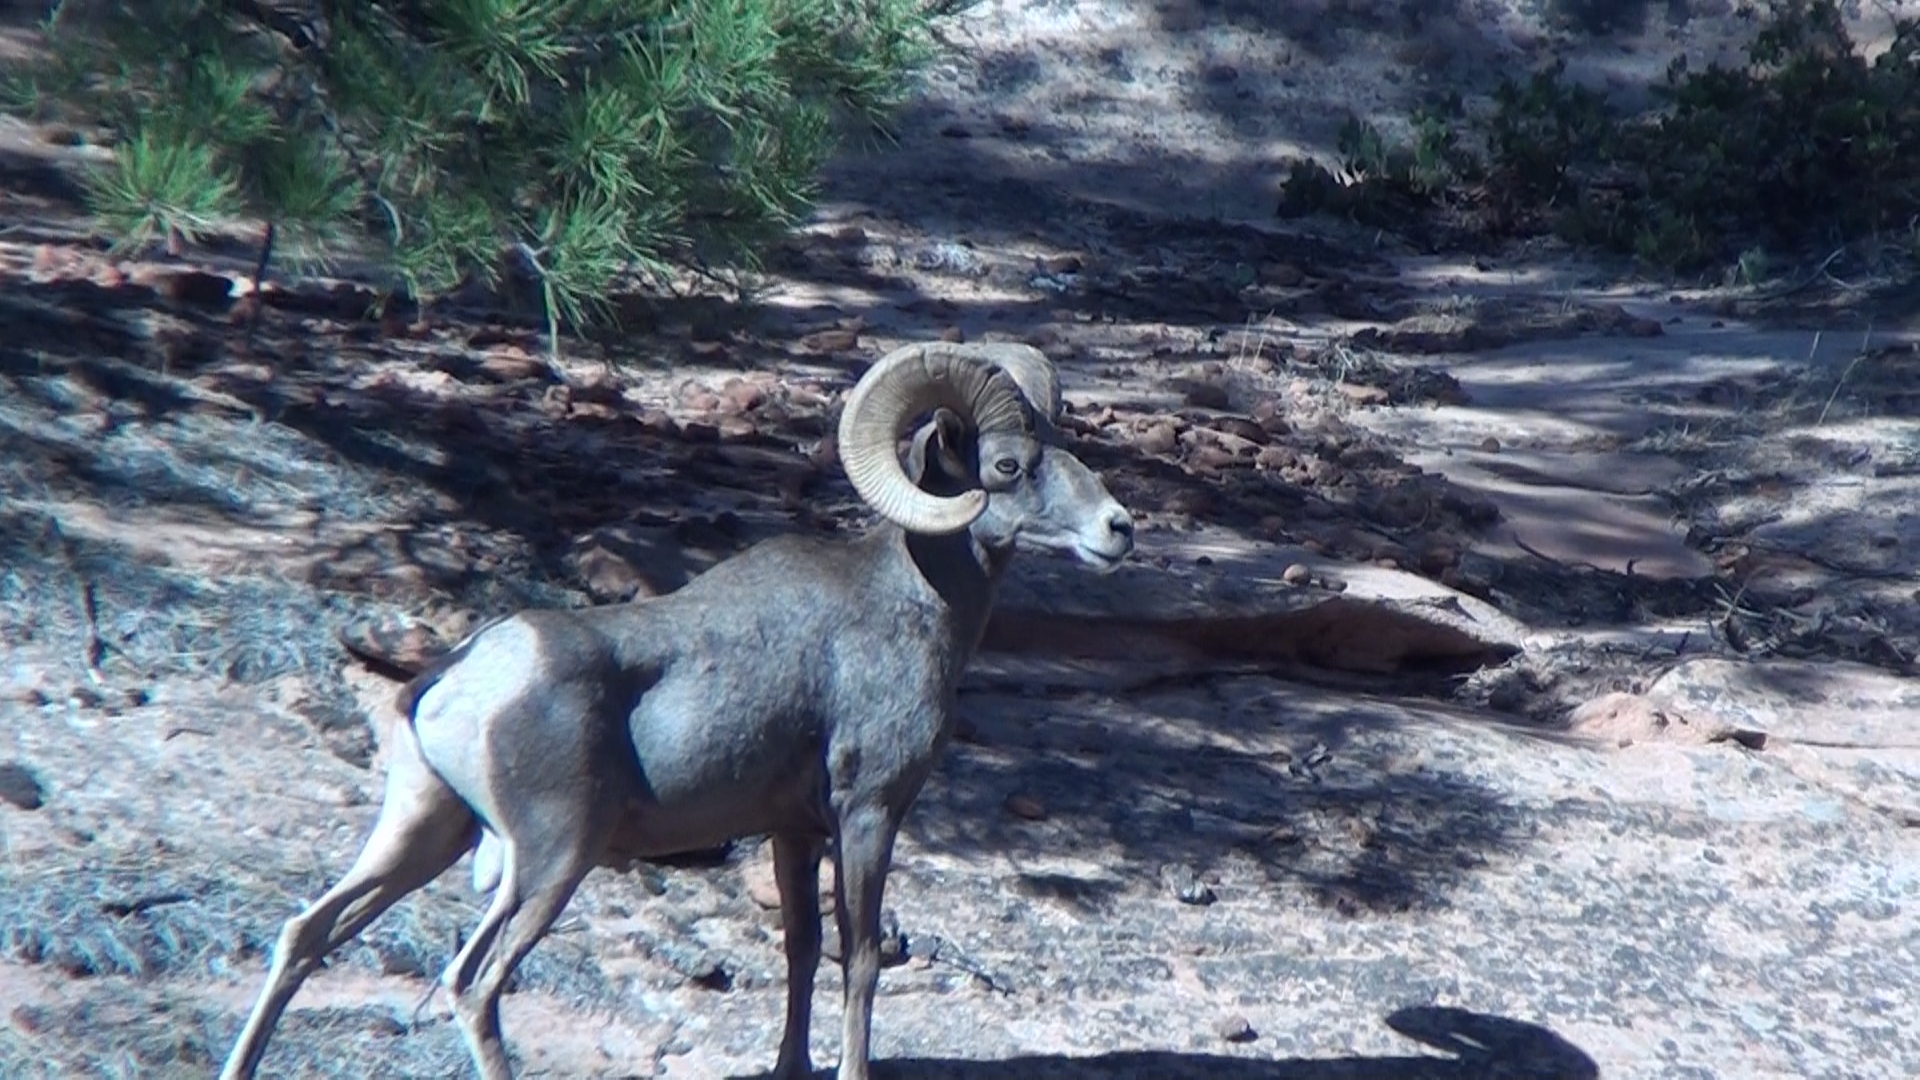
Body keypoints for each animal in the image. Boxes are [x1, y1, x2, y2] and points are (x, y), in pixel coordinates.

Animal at [219, 340, 1128, 1076]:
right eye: (1007, 466)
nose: (1117, 529)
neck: (911, 599)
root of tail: (463, 676)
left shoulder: (792, 831)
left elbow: (801, 951)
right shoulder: (866, 815)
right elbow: (861, 959)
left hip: (423, 832)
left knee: (307, 934)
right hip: (549, 860)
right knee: (475, 983)